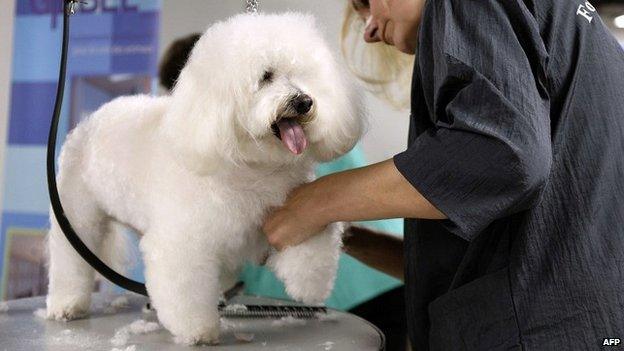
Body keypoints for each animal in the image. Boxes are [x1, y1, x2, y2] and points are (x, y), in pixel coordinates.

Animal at [45, 12, 360, 346]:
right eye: (266, 76)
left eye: (304, 75)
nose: (304, 101)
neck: (252, 166)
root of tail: (90, 121)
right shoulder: (183, 241)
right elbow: (186, 289)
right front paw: (198, 330)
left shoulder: (293, 208)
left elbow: (312, 241)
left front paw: (309, 284)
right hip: (77, 218)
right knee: (69, 262)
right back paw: (66, 305)